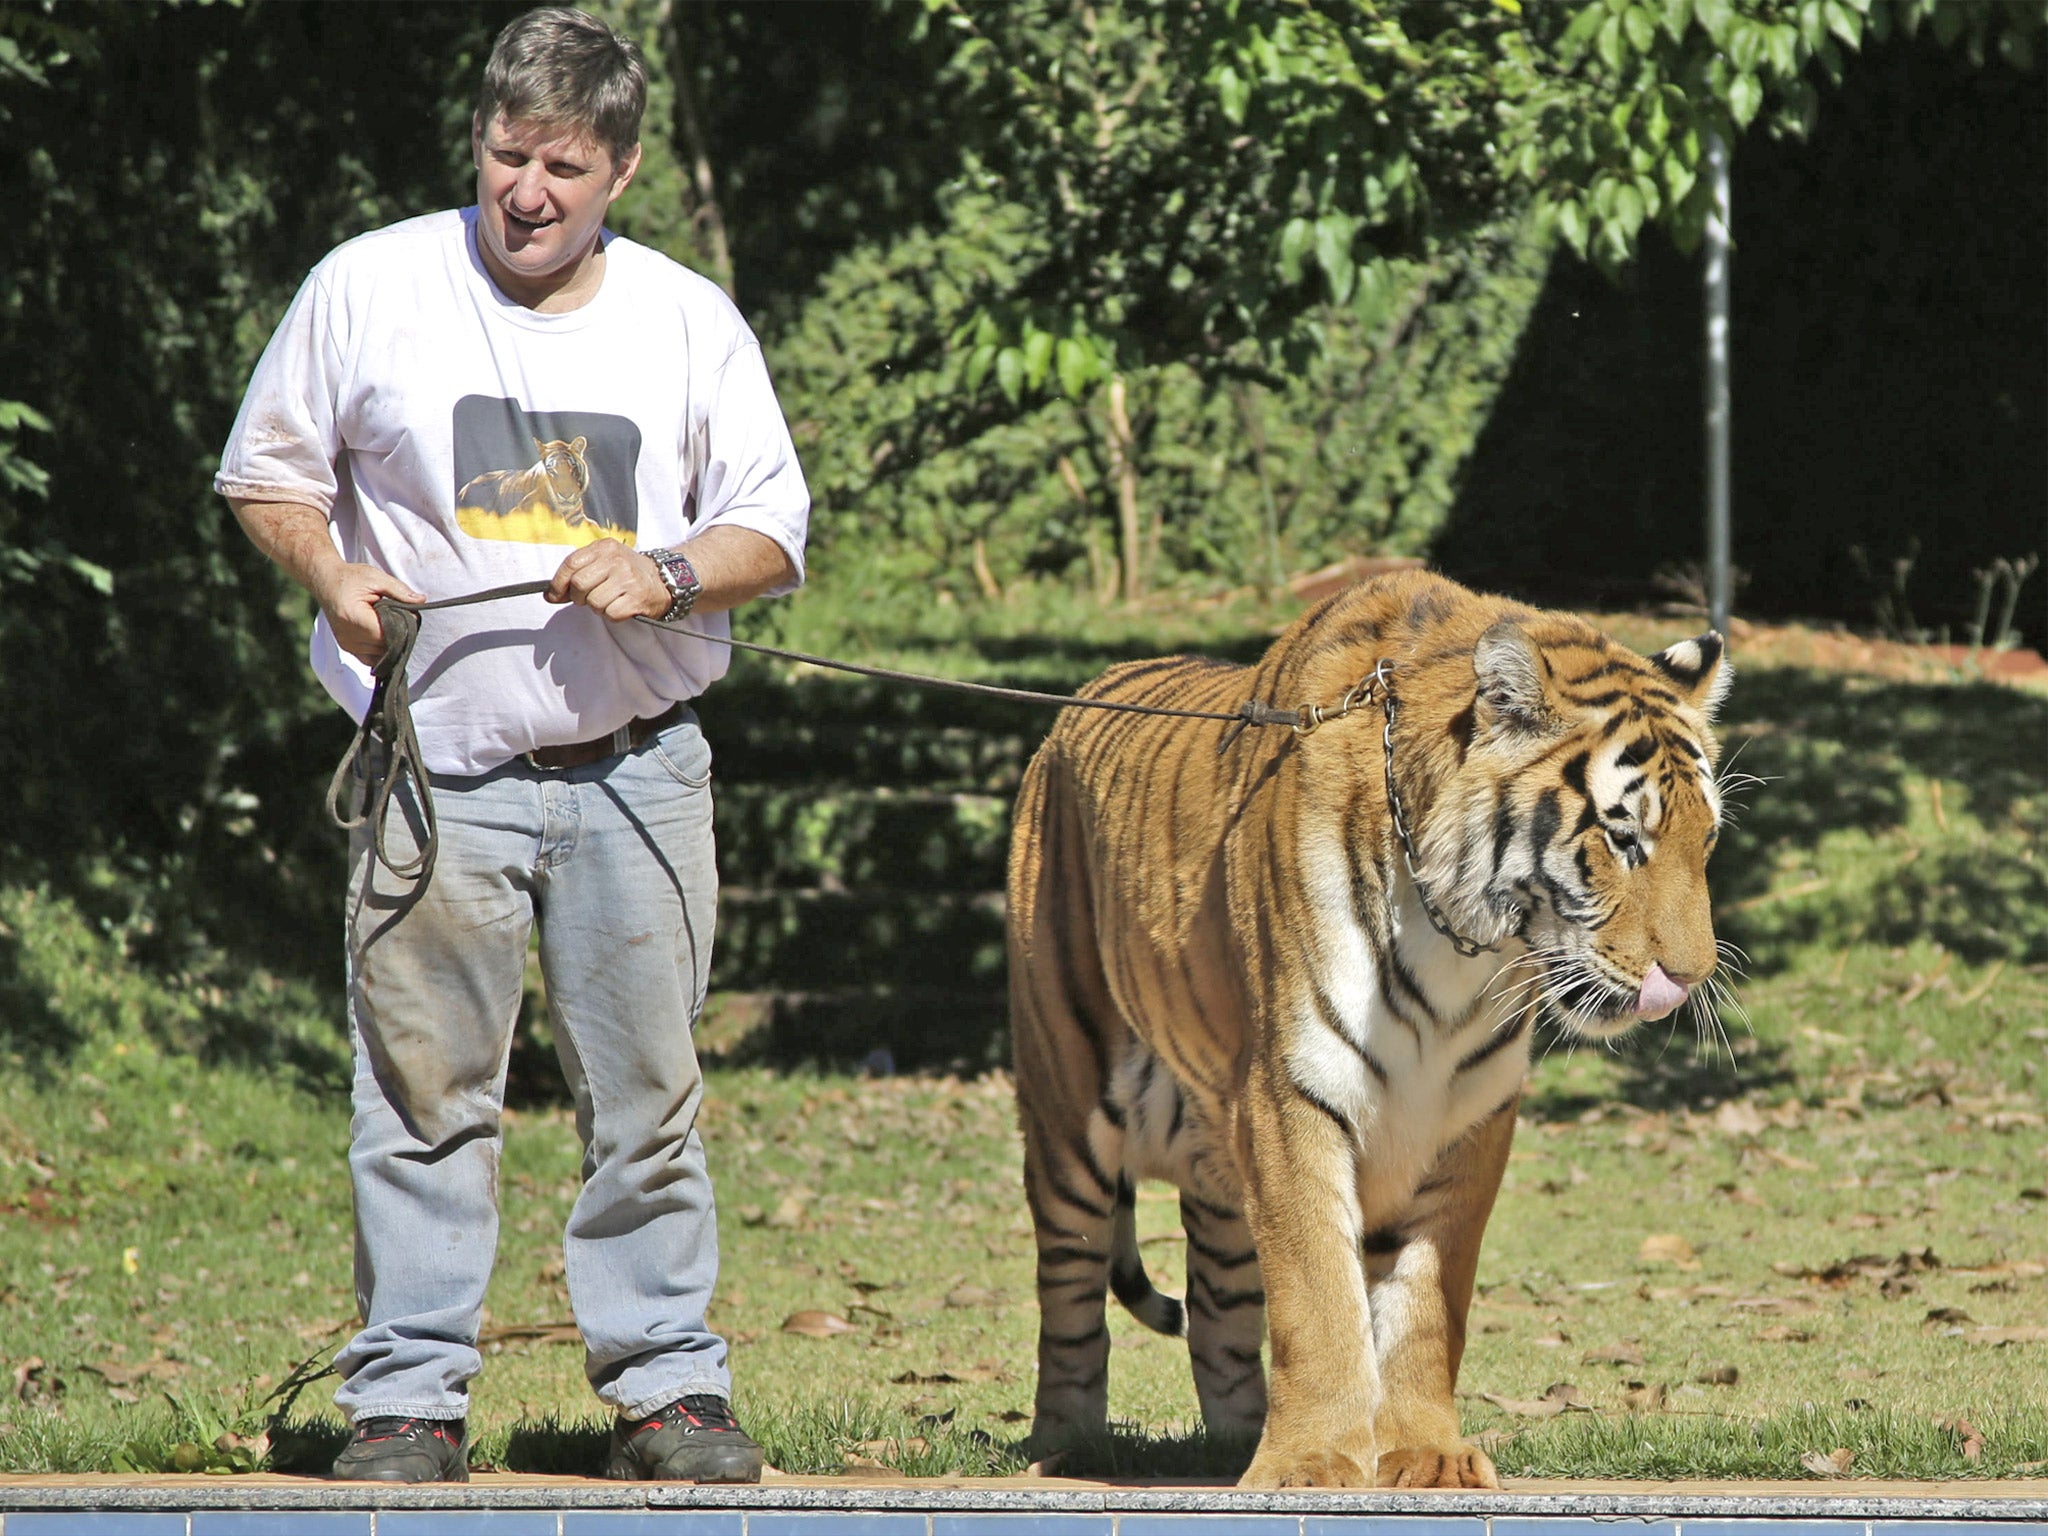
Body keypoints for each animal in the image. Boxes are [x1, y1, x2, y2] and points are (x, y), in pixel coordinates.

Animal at [1007, 569, 1728, 1490]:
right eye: (1622, 836)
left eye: (1706, 839)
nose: (1692, 978)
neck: (1463, 946)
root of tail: (1071, 710)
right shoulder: (1290, 1098)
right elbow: (1317, 1293)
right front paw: (1312, 1461)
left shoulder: (1468, 1118)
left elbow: (1426, 1300)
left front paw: (1427, 1455)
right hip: (1067, 1112)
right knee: (1069, 1286)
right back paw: (1067, 1444)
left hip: (1215, 1160)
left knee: (1219, 1306)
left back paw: (1236, 1440)